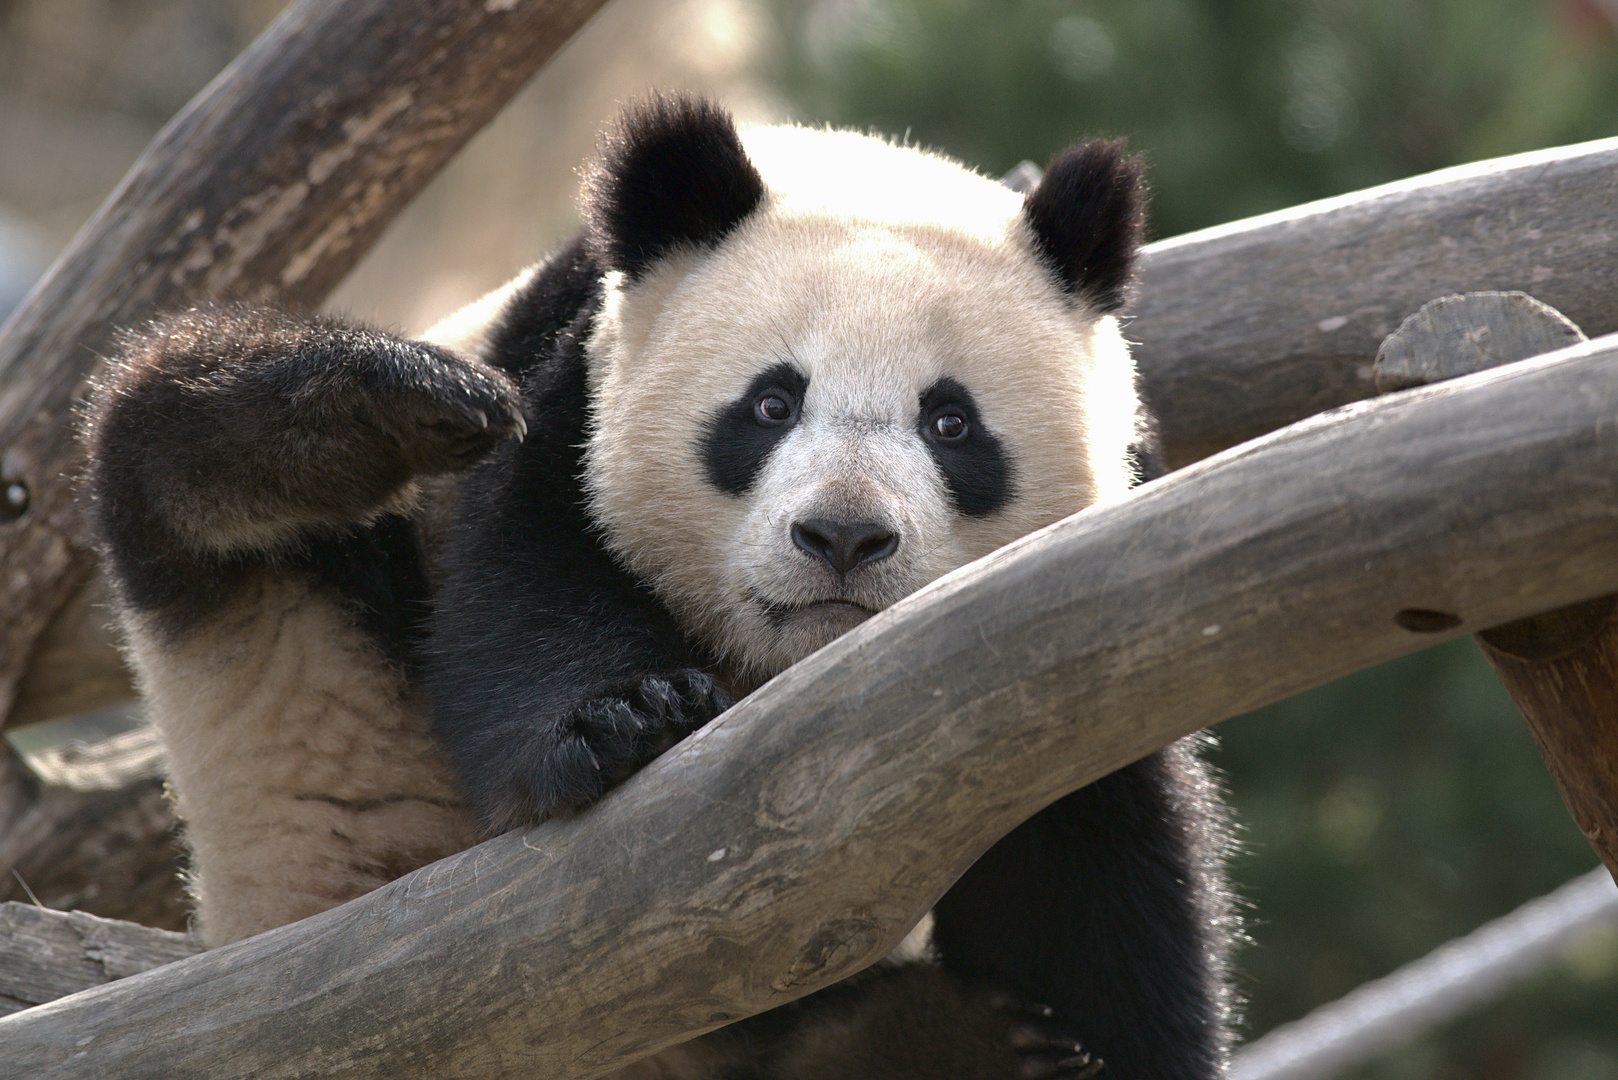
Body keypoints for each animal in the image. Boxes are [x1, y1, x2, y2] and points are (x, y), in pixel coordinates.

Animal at [85, 95, 1223, 1080]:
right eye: (770, 403)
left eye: (951, 424)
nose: (842, 538)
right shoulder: (567, 391)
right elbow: (534, 591)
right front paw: (628, 716)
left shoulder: (1051, 627)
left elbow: (1089, 859)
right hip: (306, 711)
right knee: (185, 450)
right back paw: (368, 408)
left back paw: (940, 1043)